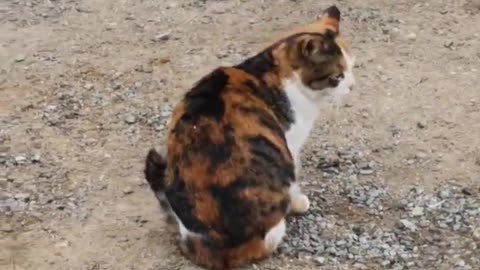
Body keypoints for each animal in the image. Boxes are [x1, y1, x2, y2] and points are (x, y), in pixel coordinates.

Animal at [144, 4, 354, 270]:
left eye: (352, 68)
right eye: (337, 76)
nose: (352, 86)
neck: (277, 70)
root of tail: (213, 245)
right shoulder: (290, 143)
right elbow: (295, 177)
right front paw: (299, 201)